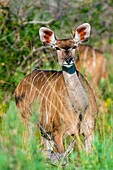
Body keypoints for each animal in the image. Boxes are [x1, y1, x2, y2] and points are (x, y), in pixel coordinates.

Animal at [14, 23, 98, 154]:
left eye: (74, 46)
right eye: (57, 48)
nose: (68, 60)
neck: (80, 108)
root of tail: (19, 85)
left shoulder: (89, 131)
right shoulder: (58, 133)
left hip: (44, 130)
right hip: (27, 120)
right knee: (26, 144)